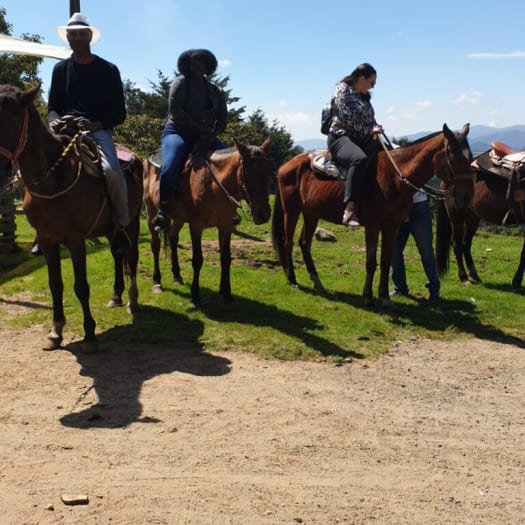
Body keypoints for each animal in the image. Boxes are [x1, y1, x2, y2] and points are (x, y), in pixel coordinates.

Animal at [0, 83, 142, 352]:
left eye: (12, 115)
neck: (52, 180)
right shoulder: (47, 240)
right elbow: (55, 285)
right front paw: (55, 331)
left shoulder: (75, 240)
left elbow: (81, 286)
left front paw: (90, 335)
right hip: (110, 228)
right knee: (117, 255)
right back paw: (116, 296)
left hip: (132, 223)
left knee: (131, 259)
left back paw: (132, 300)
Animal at [272, 123, 472, 304]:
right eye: (454, 157)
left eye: (470, 158)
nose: (465, 197)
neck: (394, 177)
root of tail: (285, 165)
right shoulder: (373, 225)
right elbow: (371, 262)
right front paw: (367, 296)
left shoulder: (392, 226)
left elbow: (386, 261)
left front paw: (384, 296)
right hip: (291, 210)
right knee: (287, 242)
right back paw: (293, 280)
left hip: (311, 213)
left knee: (305, 243)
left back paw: (317, 282)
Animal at [434, 142, 524, 290]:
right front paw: (516, 282)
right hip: (456, 215)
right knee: (457, 243)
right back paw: (463, 276)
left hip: (472, 217)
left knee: (466, 244)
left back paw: (474, 275)